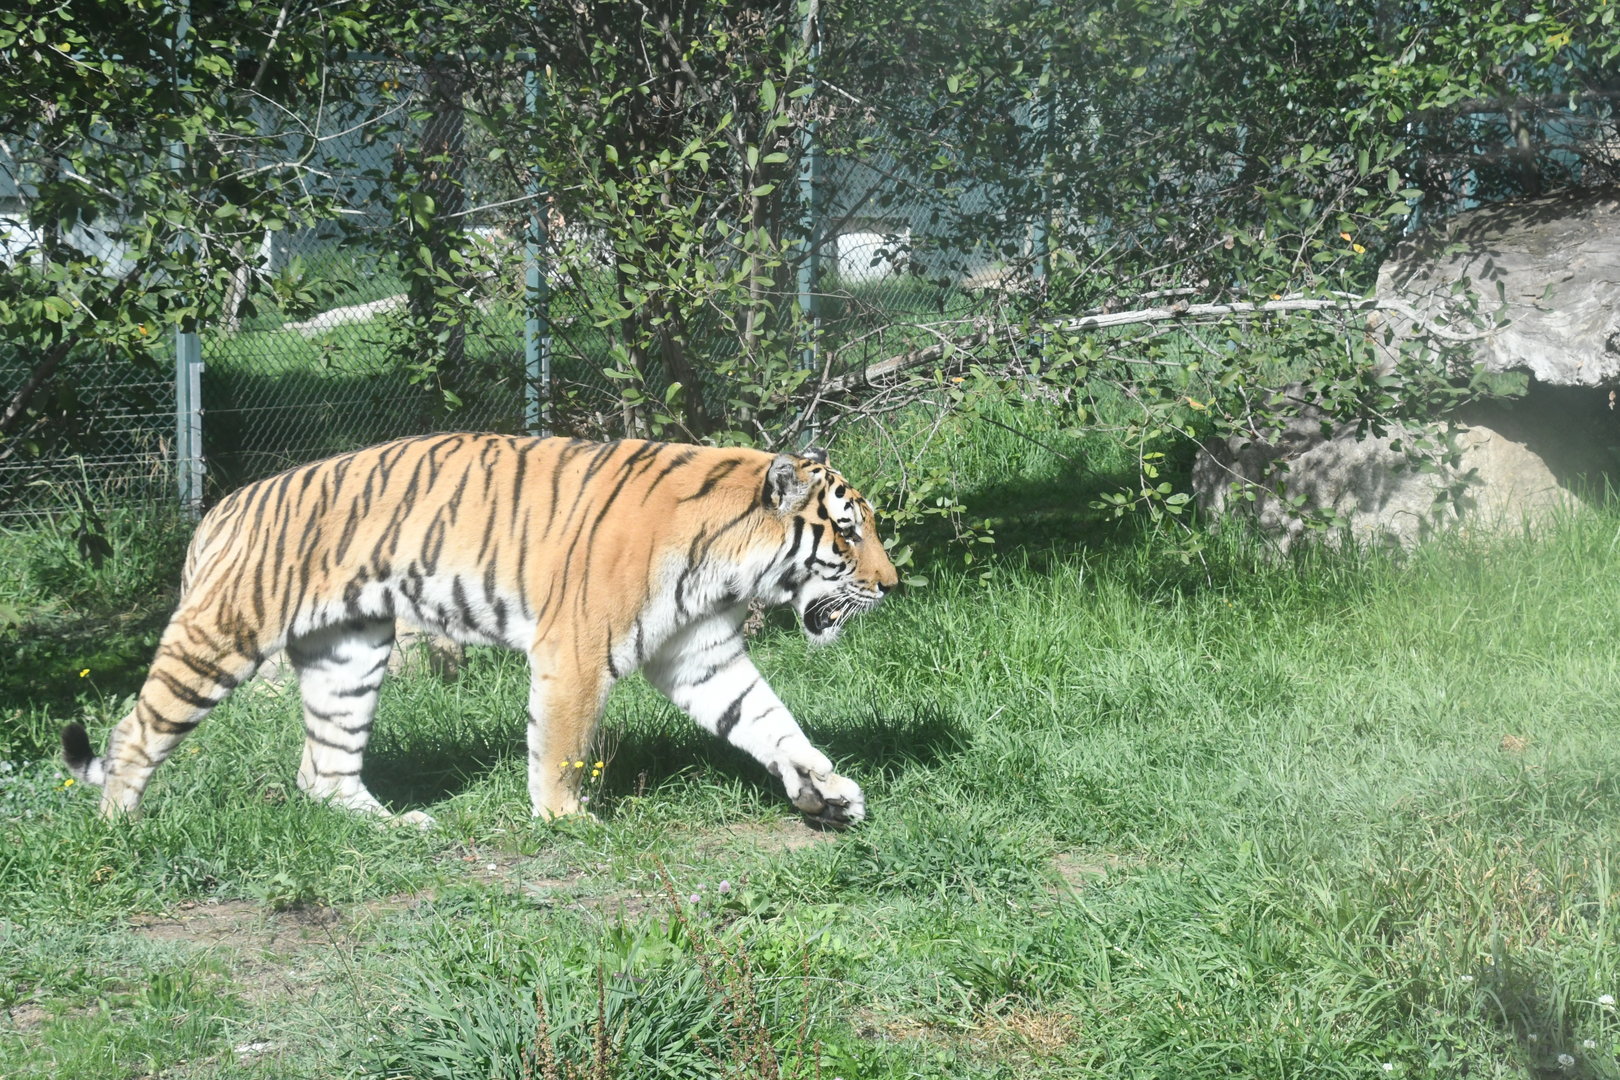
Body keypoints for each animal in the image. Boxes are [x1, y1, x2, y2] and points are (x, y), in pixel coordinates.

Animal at [61, 433, 898, 827]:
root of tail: (221, 510)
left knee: (322, 770)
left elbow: (771, 722)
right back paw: (120, 827)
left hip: (348, 654)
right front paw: (565, 819)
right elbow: (561, 743)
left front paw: (827, 791)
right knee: (135, 731)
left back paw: (396, 827)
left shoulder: (700, 654)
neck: (728, 563)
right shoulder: (575, 649)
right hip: (220, 638)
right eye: (849, 532)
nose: (893, 585)